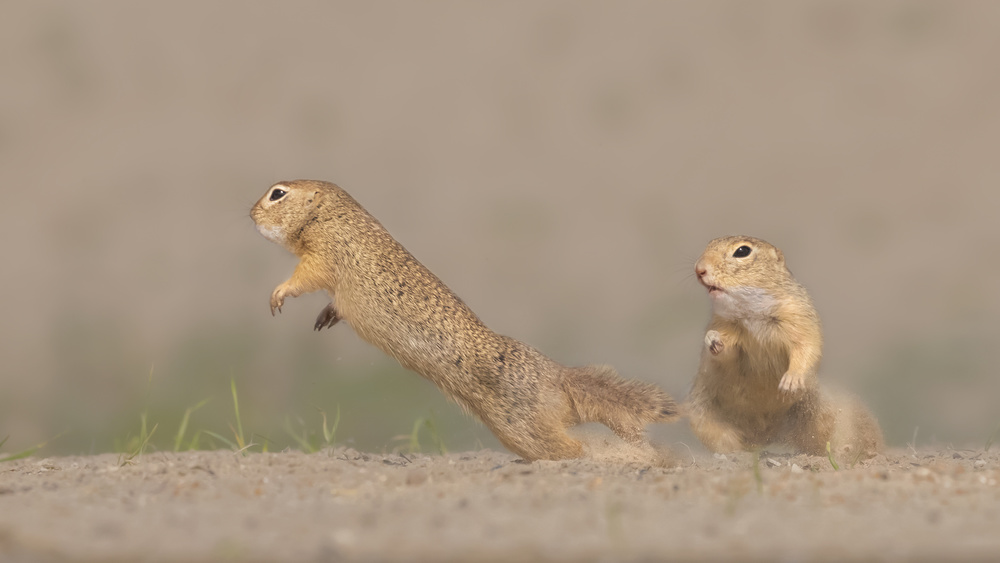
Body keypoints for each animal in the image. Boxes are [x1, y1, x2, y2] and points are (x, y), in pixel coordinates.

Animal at [248, 181, 680, 462]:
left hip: (523, 427)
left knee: (571, 449)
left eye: (277, 193)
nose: (249, 212)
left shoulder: (324, 255)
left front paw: (277, 295)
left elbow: (305, 277)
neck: (331, 215)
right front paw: (324, 316)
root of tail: (558, 377)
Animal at [688, 235, 884, 458]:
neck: (752, 313)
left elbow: (805, 347)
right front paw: (713, 340)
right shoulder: (724, 324)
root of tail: (766, 436)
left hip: (821, 418)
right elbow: (726, 354)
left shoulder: (797, 316)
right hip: (703, 417)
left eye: (742, 251)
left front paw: (790, 381)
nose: (699, 269)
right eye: (709, 244)